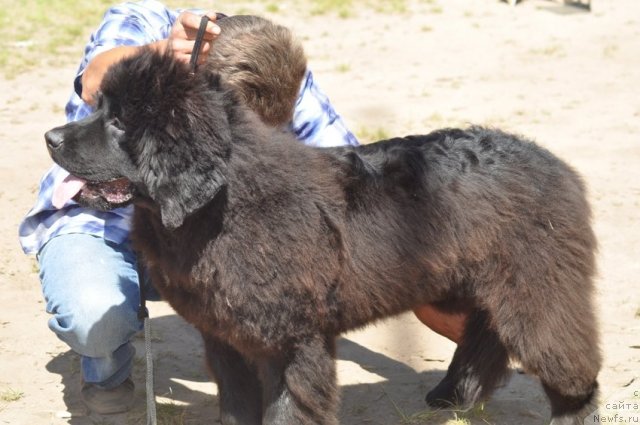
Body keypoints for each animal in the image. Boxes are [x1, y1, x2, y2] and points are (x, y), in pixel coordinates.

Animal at [45, 48, 600, 422]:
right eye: (97, 105)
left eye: (120, 123)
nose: (50, 138)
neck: (221, 205)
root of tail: (551, 161)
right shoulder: (225, 338)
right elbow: (236, 406)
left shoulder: (291, 341)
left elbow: (288, 408)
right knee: (485, 336)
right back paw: (453, 394)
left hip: (537, 290)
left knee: (569, 359)